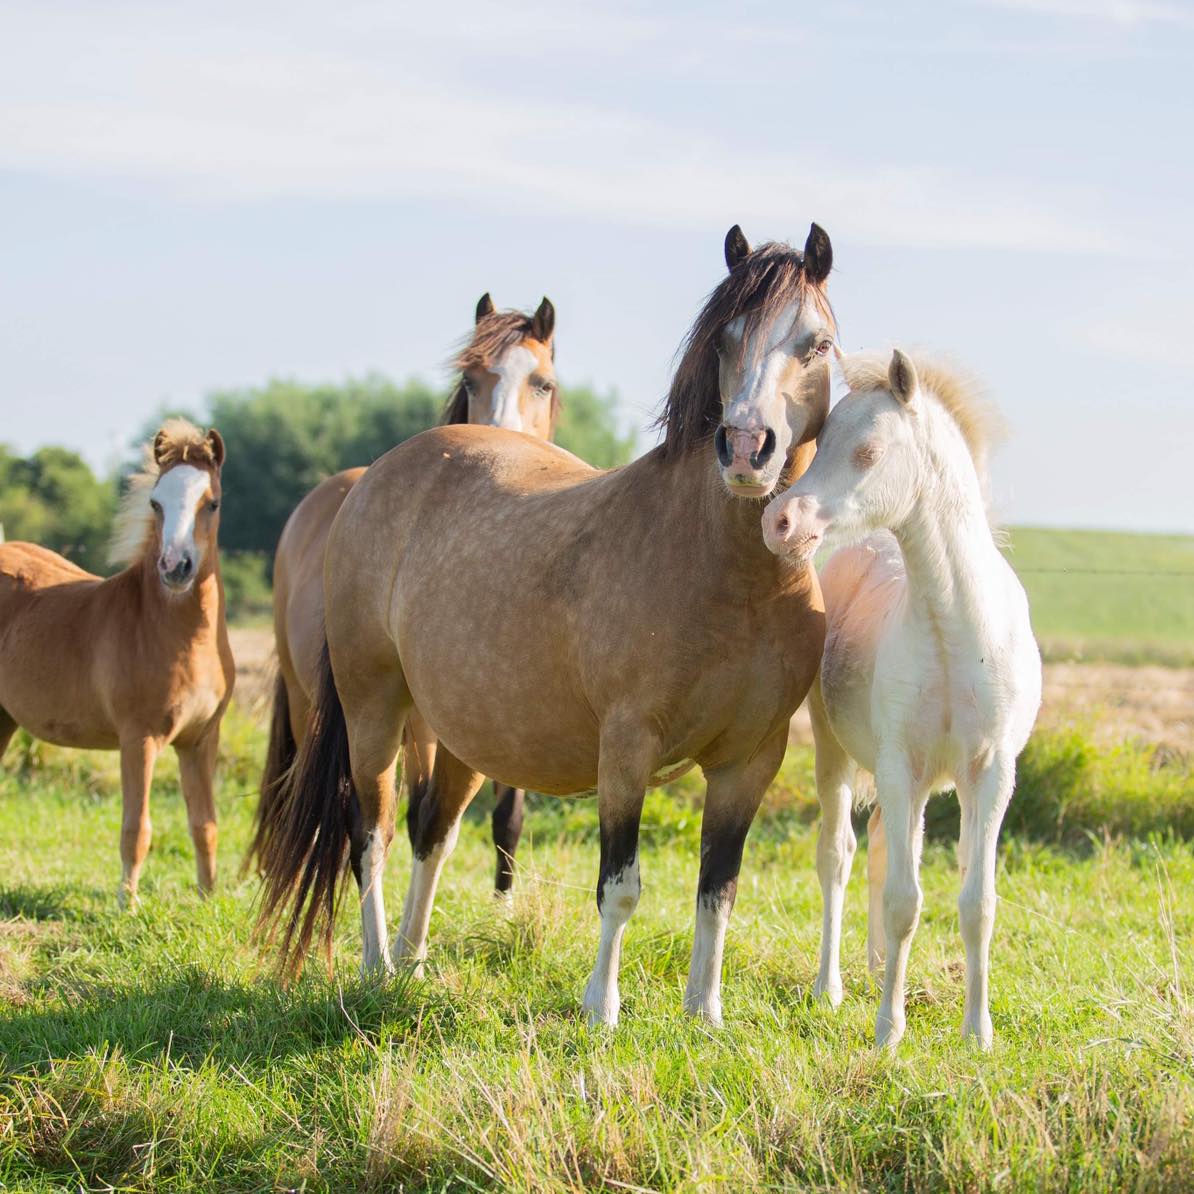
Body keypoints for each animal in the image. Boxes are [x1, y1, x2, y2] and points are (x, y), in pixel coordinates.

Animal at [0, 422, 232, 902]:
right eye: (156, 503)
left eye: (212, 502)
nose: (175, 567)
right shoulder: (138, 738)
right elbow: (136, 828)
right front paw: (128, 901)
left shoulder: (201, 739)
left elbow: (205, 824)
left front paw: (207, 896)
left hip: (2, 719)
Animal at [251, 296, 558, 897]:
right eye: (470, 378)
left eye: (543, 384)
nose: (503, 441)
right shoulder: (425, 731)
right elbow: (418, 817)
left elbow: (505, 816)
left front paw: (503, 904)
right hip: (311, 702)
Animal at [759, 348, 1041, 1050]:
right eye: (821, 439)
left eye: (868, 450)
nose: (779, 521)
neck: (955, 627)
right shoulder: (896, 764)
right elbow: (903, 901)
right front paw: (890, 1029)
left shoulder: (990, 773)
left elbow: (976, 903)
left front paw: (978, 1032)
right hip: (838, 758)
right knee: (839, 857)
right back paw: (831, 986)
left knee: (889, 847)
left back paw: (878, 963)